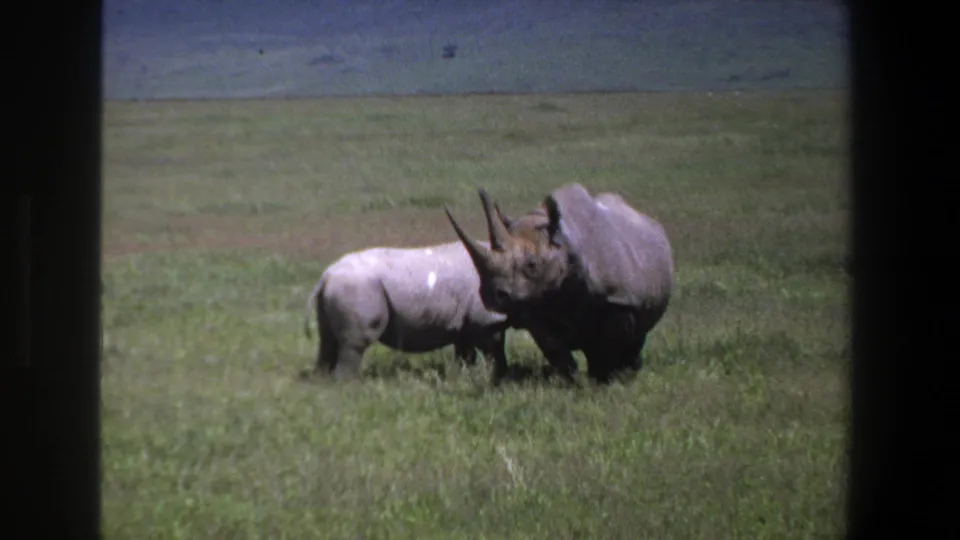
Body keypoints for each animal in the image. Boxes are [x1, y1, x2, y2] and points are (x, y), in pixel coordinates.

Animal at [302, 241, 512, 383]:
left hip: (339, 288)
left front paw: (464, 377)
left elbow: (467, 354)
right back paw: (351, 386)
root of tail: (326, 276)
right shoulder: (485, 320)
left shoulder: (466, 324)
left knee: (327, 341)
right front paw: (498, 377)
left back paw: (324, 383)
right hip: (356, 286)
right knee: (354, 343)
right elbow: (494, 349)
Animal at [443, 183, 675, 385]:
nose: (491, 296)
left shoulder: (620, 299)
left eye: (532, 264)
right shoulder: (534, 304)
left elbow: (611, 342)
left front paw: (607, 379)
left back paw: (628, 371)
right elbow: (554, 348)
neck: (563, 243)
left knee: (636, 334)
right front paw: (572, 382)